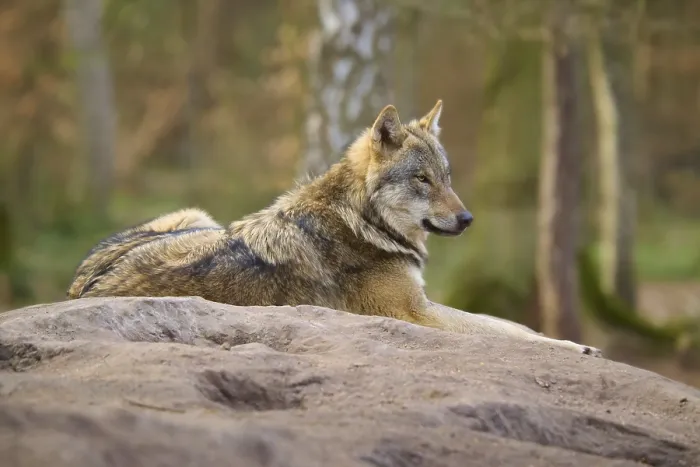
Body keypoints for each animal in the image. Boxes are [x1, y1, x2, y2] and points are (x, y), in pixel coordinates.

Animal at [67, 100, 601, 357]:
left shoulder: (424, 306)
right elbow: (505, 332)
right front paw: (575, 347)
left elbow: (512, 325)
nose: (468, 219)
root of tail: (80, 286)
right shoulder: (416, 313)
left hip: (195, 215)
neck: (363, 222)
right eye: (422, 180)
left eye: (447, 177)